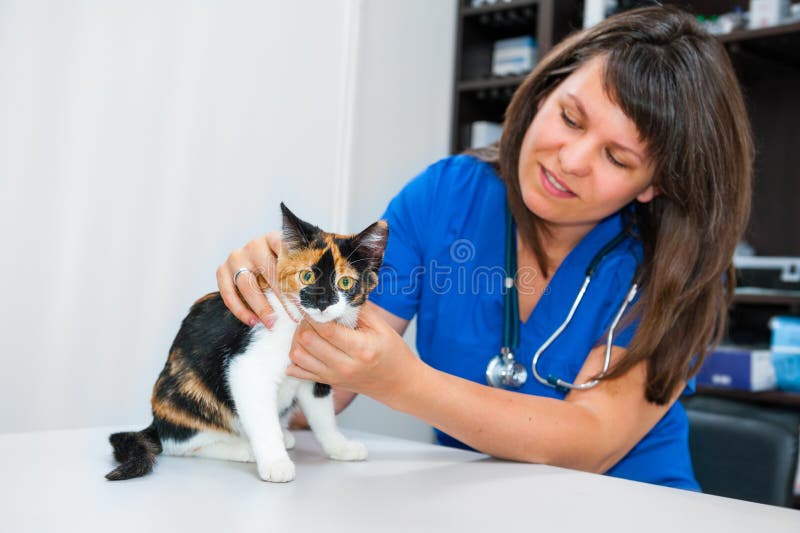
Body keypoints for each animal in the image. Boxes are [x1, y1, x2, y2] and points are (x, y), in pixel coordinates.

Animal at [105, 203, 388, 482]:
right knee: (180, 443)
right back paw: (242, 448)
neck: (298, 325)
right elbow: (262, 419)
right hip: (189, 395)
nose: (322, 303)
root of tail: (156, 423)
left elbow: (323, 416)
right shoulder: (246, 367)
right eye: (307, 276)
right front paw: (275, 463)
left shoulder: (315, 374)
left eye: (345, 282)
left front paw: (340, 447)